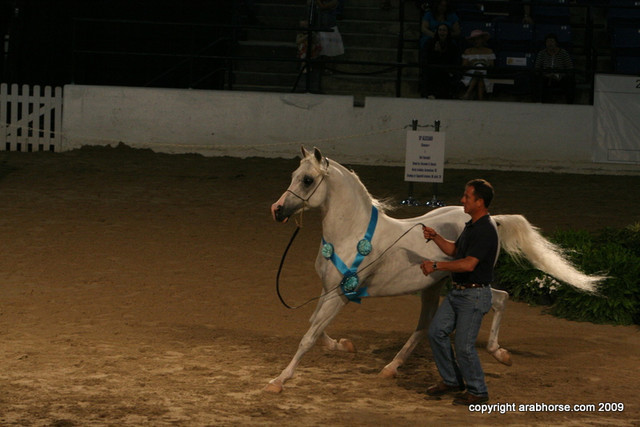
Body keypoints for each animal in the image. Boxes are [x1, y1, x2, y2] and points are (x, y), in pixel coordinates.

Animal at [266, 146, 603, 393]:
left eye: (307, 180)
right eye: (294, 175)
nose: (277, 210)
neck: (351, 233)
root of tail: (493, 220)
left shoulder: (341, 294)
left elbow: (309, 336)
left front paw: (279, 381)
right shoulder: (329, 291)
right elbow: (314, 325)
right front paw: (344, 347)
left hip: (462, 282)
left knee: (500, 298)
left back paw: (500, 353)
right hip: (432, 287)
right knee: (426, 325)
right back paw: (391, 368)